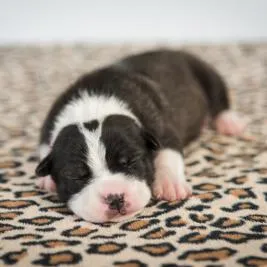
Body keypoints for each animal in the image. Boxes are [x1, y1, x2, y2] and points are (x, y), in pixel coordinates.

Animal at [35, 49, 247, 224]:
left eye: (131, 161)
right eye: (76, 175)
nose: (115, 198)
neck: (91, 108)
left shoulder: (163, 129)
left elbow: (168, 154)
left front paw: (170, 184)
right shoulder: (48, 126)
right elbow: (45, 147)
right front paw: (47, 180)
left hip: (205, 72)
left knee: (219, 96)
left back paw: (229, 122)